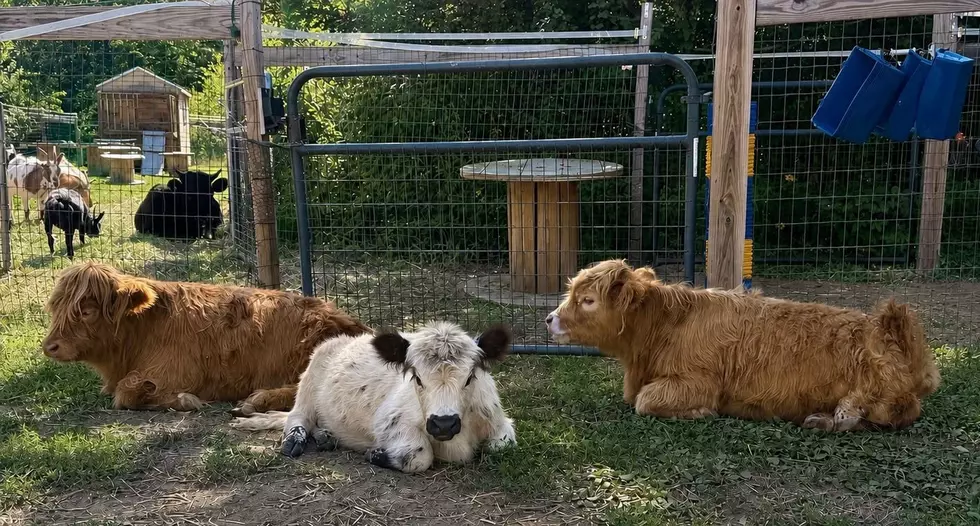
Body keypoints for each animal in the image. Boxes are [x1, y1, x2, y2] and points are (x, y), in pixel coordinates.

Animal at [40, 262, 372, 412]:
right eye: (56, 306)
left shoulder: (172, 373)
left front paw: (186, 400)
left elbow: (126, 393)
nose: (49, 347)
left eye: (86, 310)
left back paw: (258, 399)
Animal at [231, 322, 518, 474]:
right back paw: (294, 439)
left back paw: (326, 436)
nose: (444, 424)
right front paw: (377, 454)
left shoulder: (499, 421)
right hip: (309, 380)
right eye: (417, 378)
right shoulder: (390, 420)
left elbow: (502, 446)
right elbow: (419, 456)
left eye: (470, 377)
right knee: (297, 415)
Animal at [545, 259, 941, 432]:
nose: (549, 319)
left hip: (881, 396)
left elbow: (645, 401)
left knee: (876, 415)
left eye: (588, 300)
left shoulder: (696, 382)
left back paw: (830, 419)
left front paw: (701, 412)